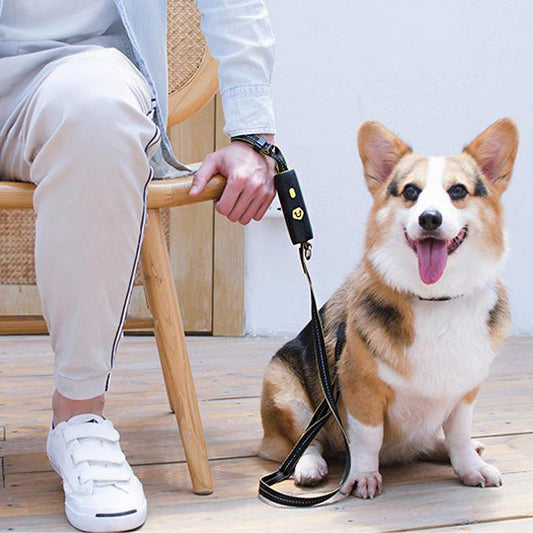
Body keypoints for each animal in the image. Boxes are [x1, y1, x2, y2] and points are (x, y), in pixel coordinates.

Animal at [260, 117, 516, 498]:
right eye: (410, 192)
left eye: (458, 191)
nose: (429, 219)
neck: (434, 299)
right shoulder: (360, 388)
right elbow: (367, 439)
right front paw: (363, 477)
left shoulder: (464, 392)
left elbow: (459, 435)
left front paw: (470, 467)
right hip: (284, 391)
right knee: (305, 442)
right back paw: (309, 467)